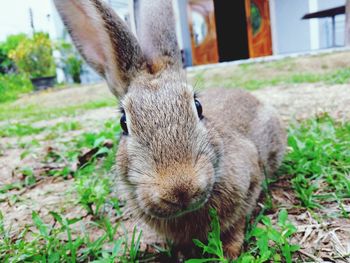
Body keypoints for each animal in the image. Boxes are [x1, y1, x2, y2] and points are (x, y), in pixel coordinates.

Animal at [53, 0, 286, 260]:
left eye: (198, 106)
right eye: (123, 123)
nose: (180, 188)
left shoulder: (251, 179)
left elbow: (237, 223)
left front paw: (229, 252)